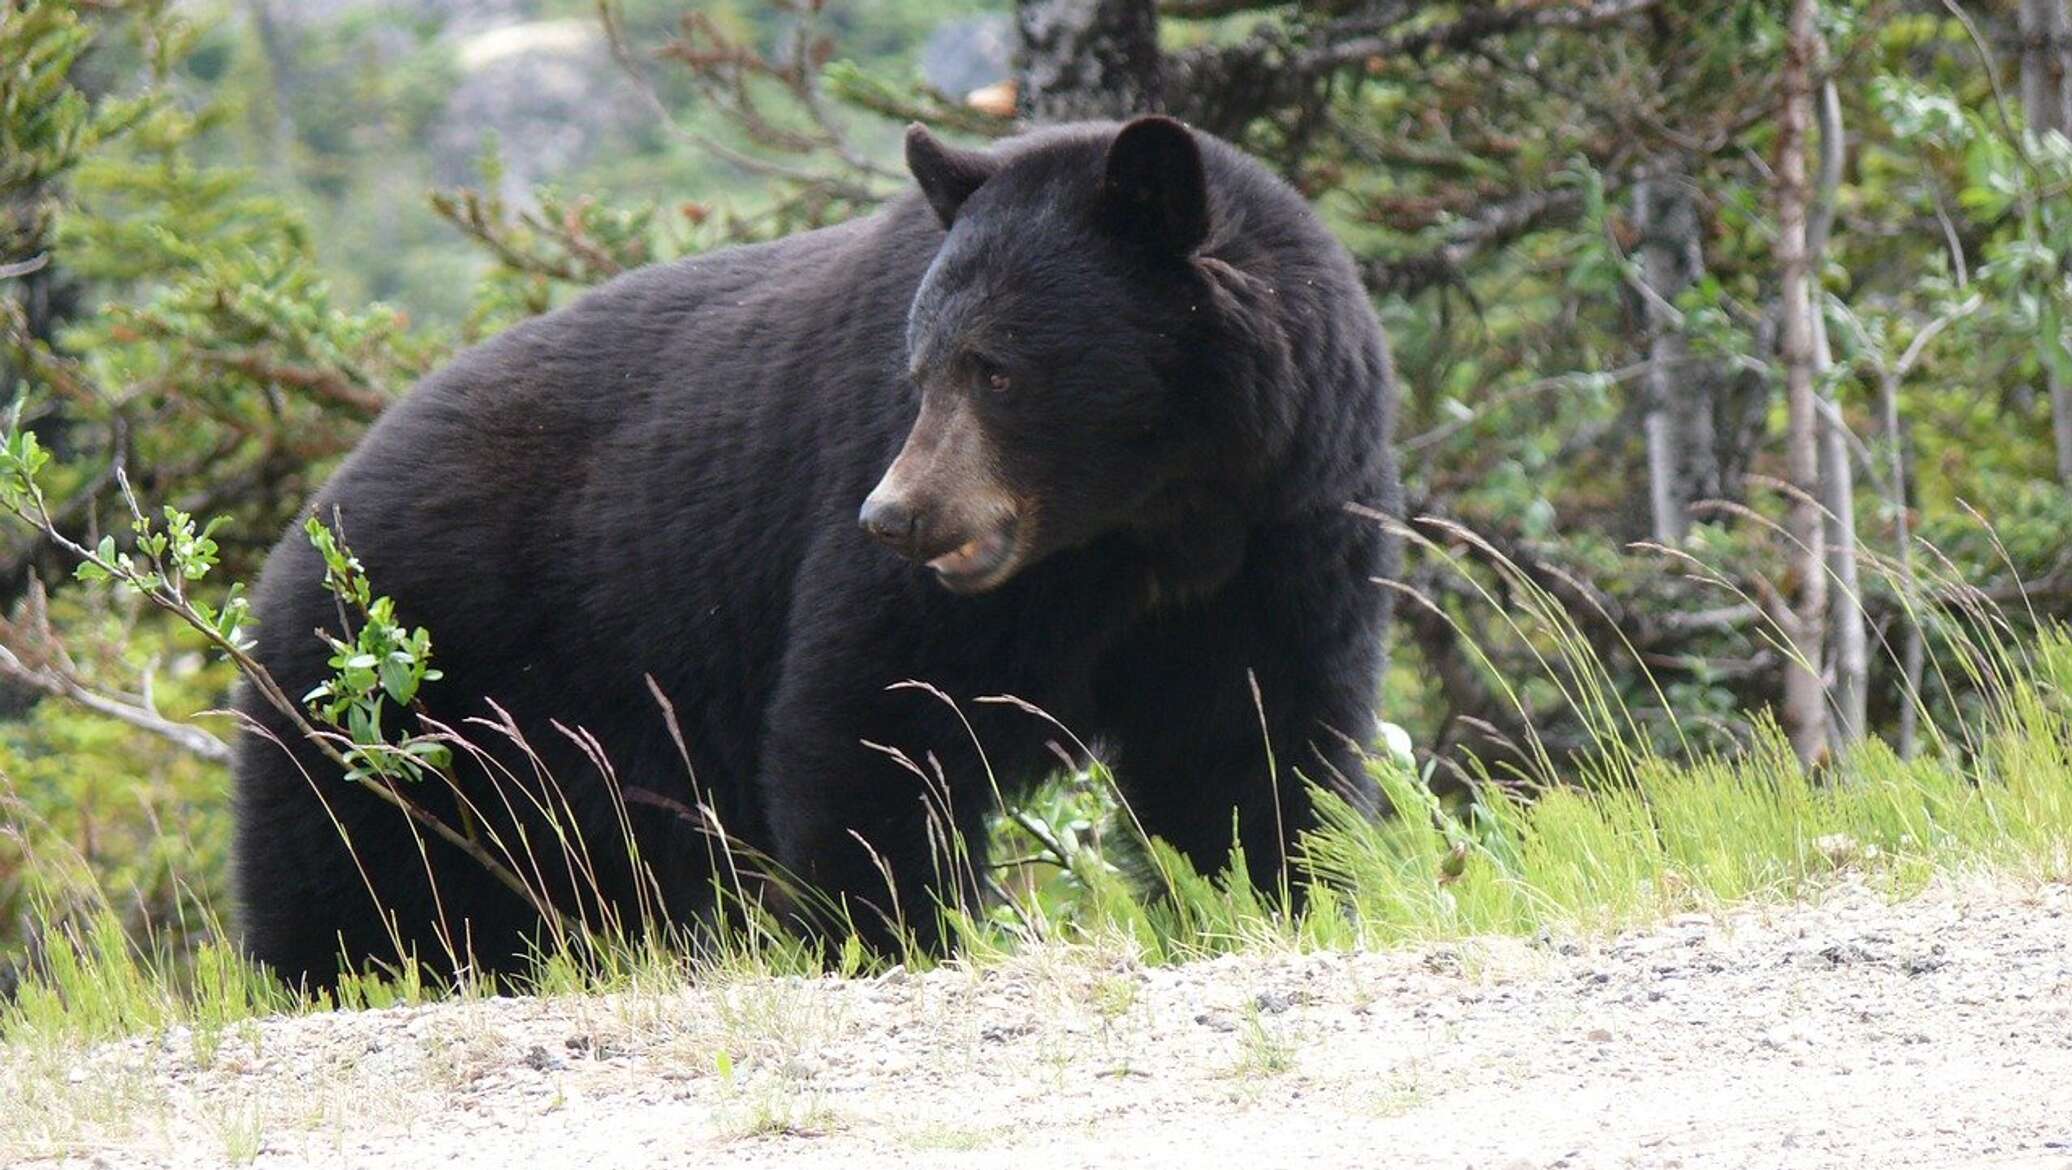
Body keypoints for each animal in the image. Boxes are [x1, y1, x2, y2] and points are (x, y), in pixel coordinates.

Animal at [235, 116, 1408, 985]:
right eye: (918, 367)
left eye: (997, 368)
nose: (893, 516)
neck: (1151, 522)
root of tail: (301, 536)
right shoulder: (930, 567)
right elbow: (875, 716)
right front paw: (896, 931)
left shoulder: (1285, 533)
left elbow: (1251, 741)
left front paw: (1276, 896)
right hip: (390, 701)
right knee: (350, 880)